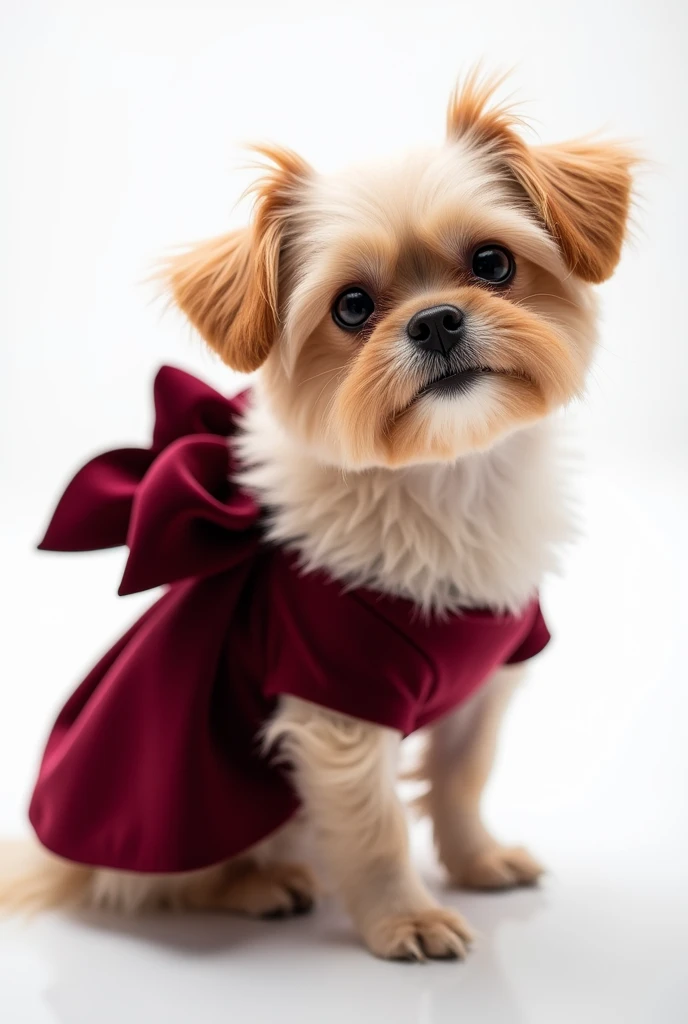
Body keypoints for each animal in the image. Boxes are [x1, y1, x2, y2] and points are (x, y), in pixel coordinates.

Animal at [2, 74, 634, 958]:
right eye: (353, 307)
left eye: (493, 263)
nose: (437, 319)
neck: (443, 484)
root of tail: (59, 853)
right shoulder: (337, 695)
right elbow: (373, 827)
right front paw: (405, 918)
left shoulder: (488, 677)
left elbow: (461, 778)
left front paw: (475, 862)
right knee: (158, 885)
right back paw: (262, 885)